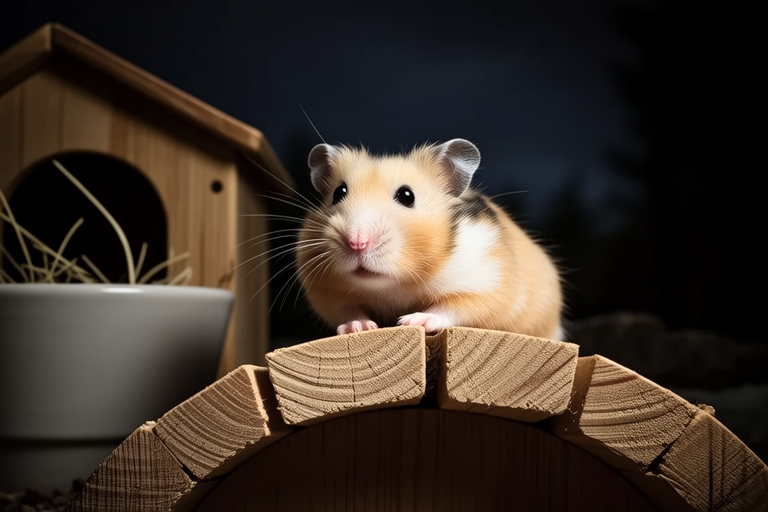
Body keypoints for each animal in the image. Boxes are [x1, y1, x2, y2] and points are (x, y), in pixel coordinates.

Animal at [295, 138, 564, 340]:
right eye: (338, 193)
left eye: (407, 196)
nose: (357, 242)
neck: (394, 285)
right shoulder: (328, 294)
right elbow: (349, 310)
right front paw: (359, 327)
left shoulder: (487, 284)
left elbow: (452, 307)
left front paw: (411, 320)